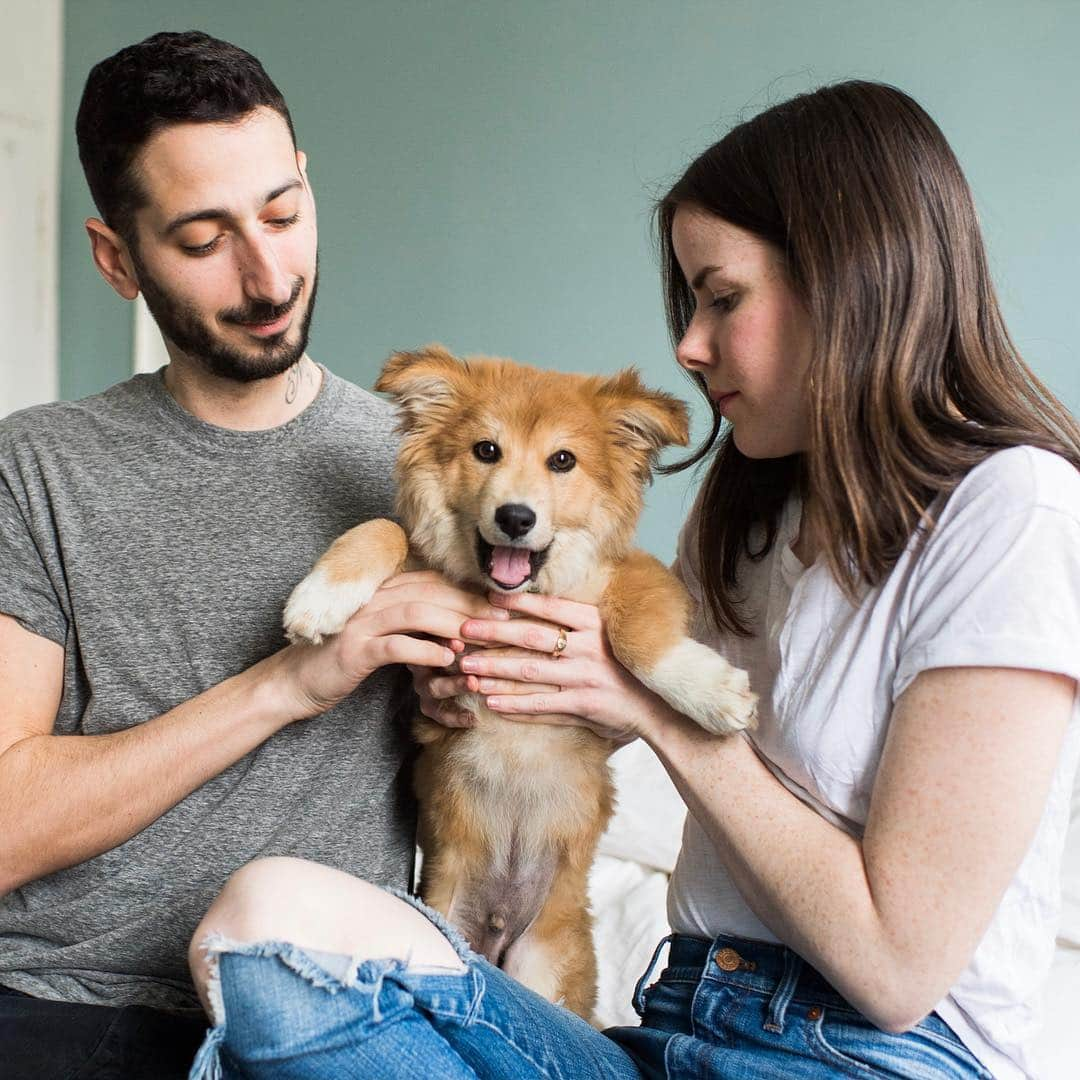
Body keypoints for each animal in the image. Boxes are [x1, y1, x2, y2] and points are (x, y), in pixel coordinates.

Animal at [282, 347, 756, 1019]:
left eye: (563, 461)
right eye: (486, 450)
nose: (515, 517)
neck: (507, 601)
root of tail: (497, 929)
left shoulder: (642, 578)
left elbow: (636, 632)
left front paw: (711, 692)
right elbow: (384, 527)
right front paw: (321, 597)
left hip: (546, 964)